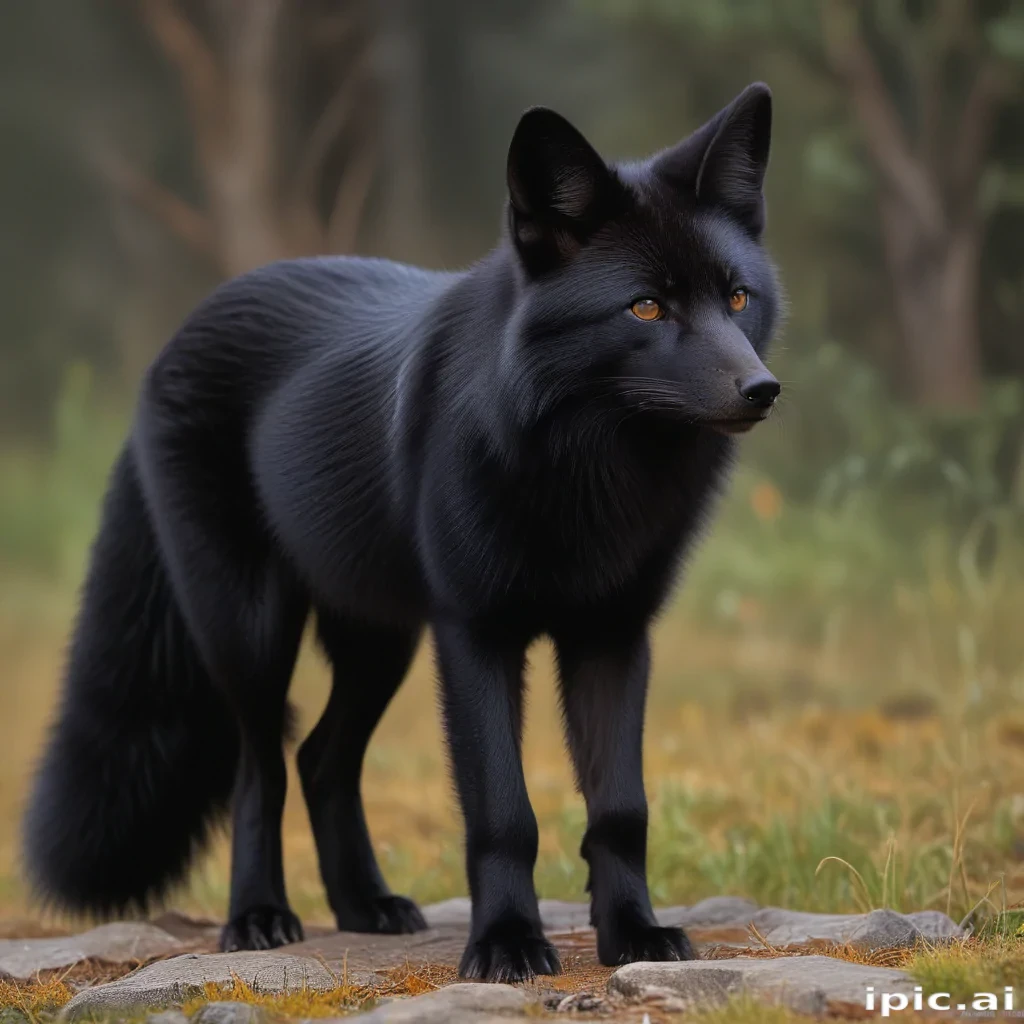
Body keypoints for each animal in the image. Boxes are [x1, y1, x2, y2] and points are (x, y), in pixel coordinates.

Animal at [24, 83, 781, 983]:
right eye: (647, 306)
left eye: (736, 298)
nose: (762, 389)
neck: (583, 472)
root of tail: (175, 337)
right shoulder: (475, 635)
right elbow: (503, 813)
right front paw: (506, 944)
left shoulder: (612, 634)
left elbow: (621, 807)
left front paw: (634, 934)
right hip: (255, 636)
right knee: (262, 768)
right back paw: (258, 916)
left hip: (380, 641)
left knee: (322, 759)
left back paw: (368, 908)